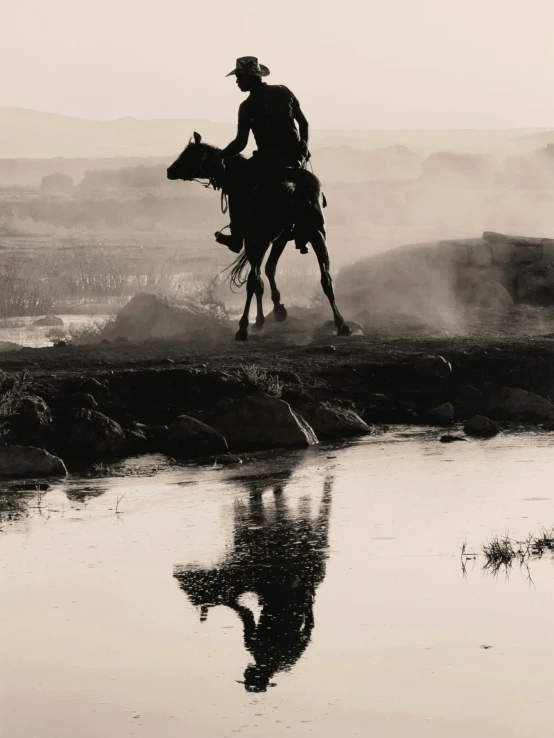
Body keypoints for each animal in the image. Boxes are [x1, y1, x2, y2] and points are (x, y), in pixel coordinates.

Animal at [166, 132, 352, 340]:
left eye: (188, 154)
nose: (169, 171)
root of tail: (292, 185)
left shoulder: (255, 241)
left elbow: (258, 280)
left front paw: (261, 319)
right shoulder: (280, 239)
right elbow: (270, 269)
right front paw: (278, 310)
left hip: (259, 240)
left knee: (254, 281)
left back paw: (243, 327)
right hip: (317, 234)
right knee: (326, 279)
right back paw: (341, 324)